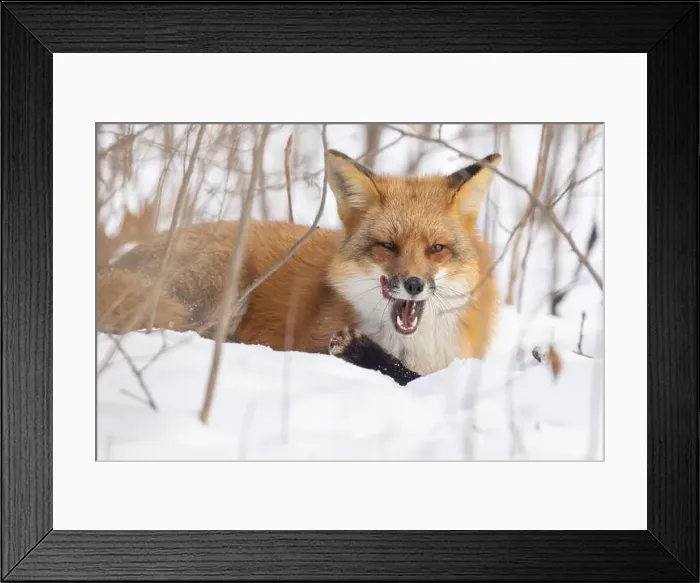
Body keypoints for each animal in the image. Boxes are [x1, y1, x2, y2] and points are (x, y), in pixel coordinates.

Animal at [97, 149, 502, 385]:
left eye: (437, 249)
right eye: (387, 246)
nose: (414, 284)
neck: (414, 344)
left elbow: (416, 378)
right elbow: (407, 376)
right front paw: (362, 352)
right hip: (224, 286)